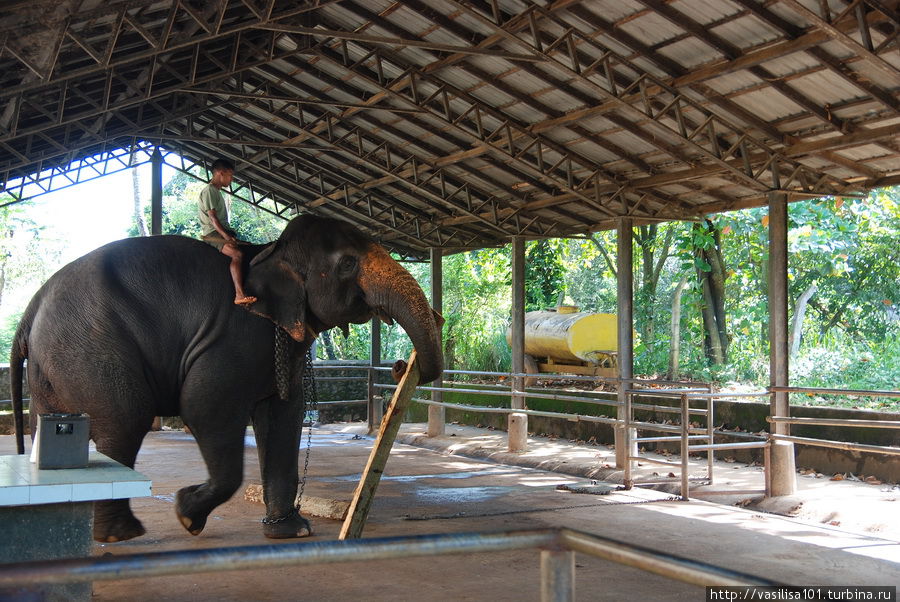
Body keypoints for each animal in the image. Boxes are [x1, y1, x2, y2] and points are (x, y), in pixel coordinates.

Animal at [7, 213, 442, 540]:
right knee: (123, 420)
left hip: (54, 365)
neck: (271, 251)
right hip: (91, 347)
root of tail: (32, 307)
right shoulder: (231, 337)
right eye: (349, 264)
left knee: (51, 422)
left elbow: (283, 414)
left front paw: (291, 531)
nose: (402, 366)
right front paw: (186, 514)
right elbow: (204, 407)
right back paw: (120, 535)